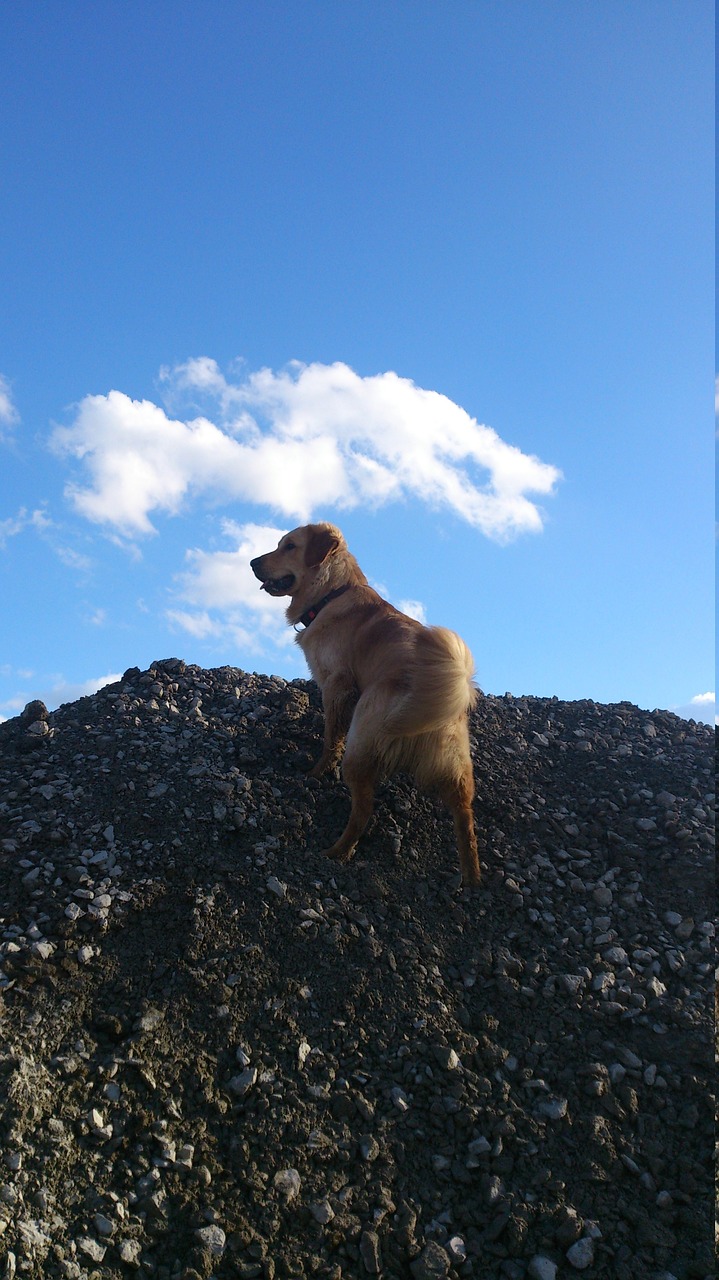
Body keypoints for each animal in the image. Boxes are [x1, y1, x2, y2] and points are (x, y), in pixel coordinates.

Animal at [249, 524, 478, 885]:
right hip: (458, 772)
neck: (332, 594)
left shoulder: (336, 685)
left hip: (360, 747)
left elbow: (331, 739)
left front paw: (316, 772)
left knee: (363, 812)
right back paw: (472, 881)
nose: (252, 563)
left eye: (289, 546)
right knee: (466, 823)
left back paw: (336, 852)